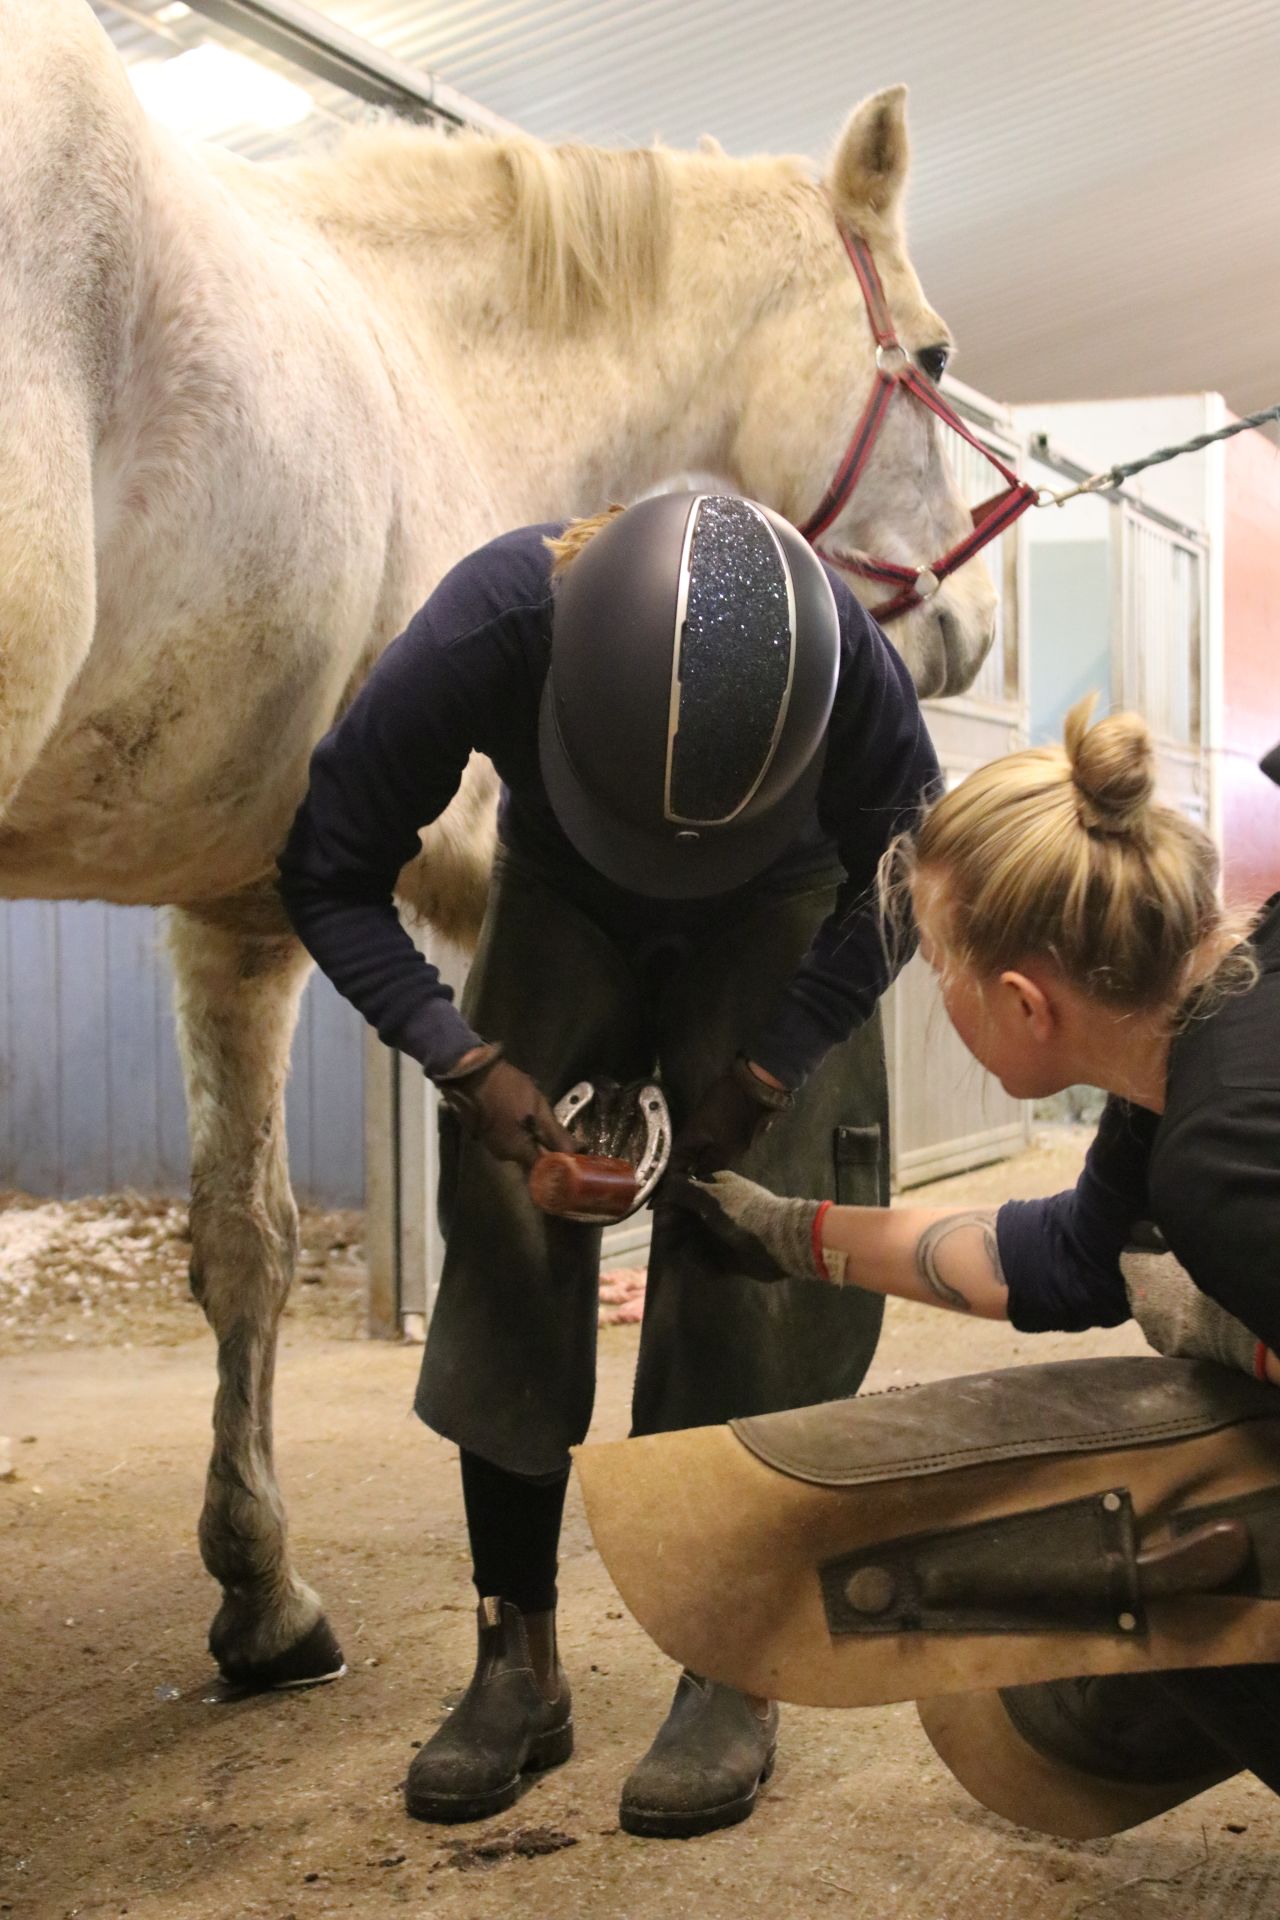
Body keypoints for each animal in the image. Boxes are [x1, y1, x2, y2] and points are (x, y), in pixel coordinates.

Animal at [0, 0, 997, 1681]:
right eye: (927, 355)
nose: (973, 635)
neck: (437, 362)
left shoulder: (233, 910)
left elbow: (239, 1242)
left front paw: (260, 1596)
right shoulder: (425, 849)